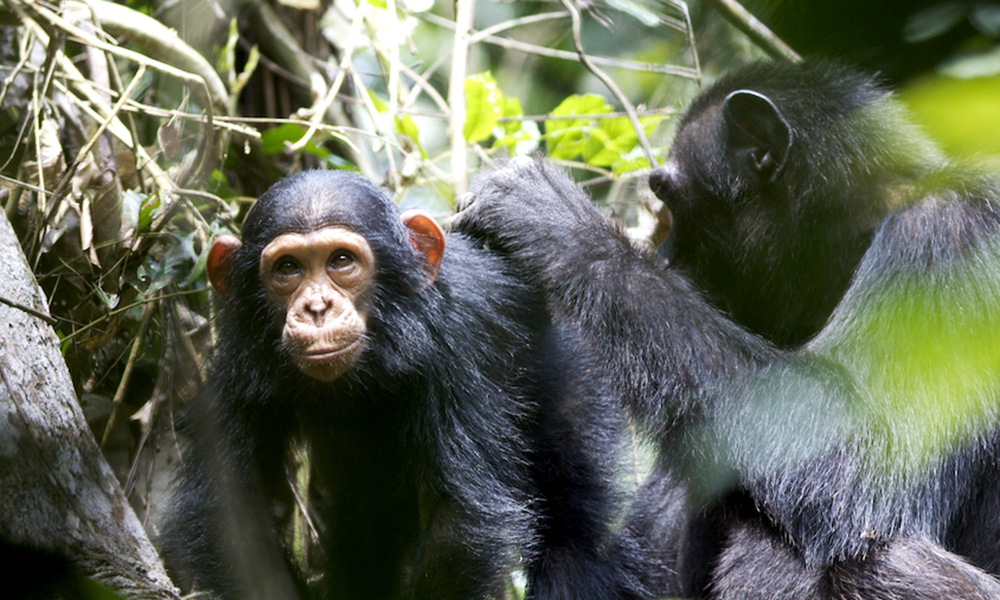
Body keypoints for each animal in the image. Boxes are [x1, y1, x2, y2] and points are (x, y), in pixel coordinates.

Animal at [160, 169, 636, 600]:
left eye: (341, 261)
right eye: (288, 268)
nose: (317, 307)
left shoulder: (458, 341)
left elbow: (458, 523)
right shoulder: (241, 366)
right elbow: (234, 523)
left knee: (570, 531)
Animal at [454, 67, 1000, 600]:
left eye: (671, 198)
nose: (666, 256)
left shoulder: (948, 240)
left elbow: (861, 462)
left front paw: (553, 221)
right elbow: (630, 577)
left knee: (859, 553)